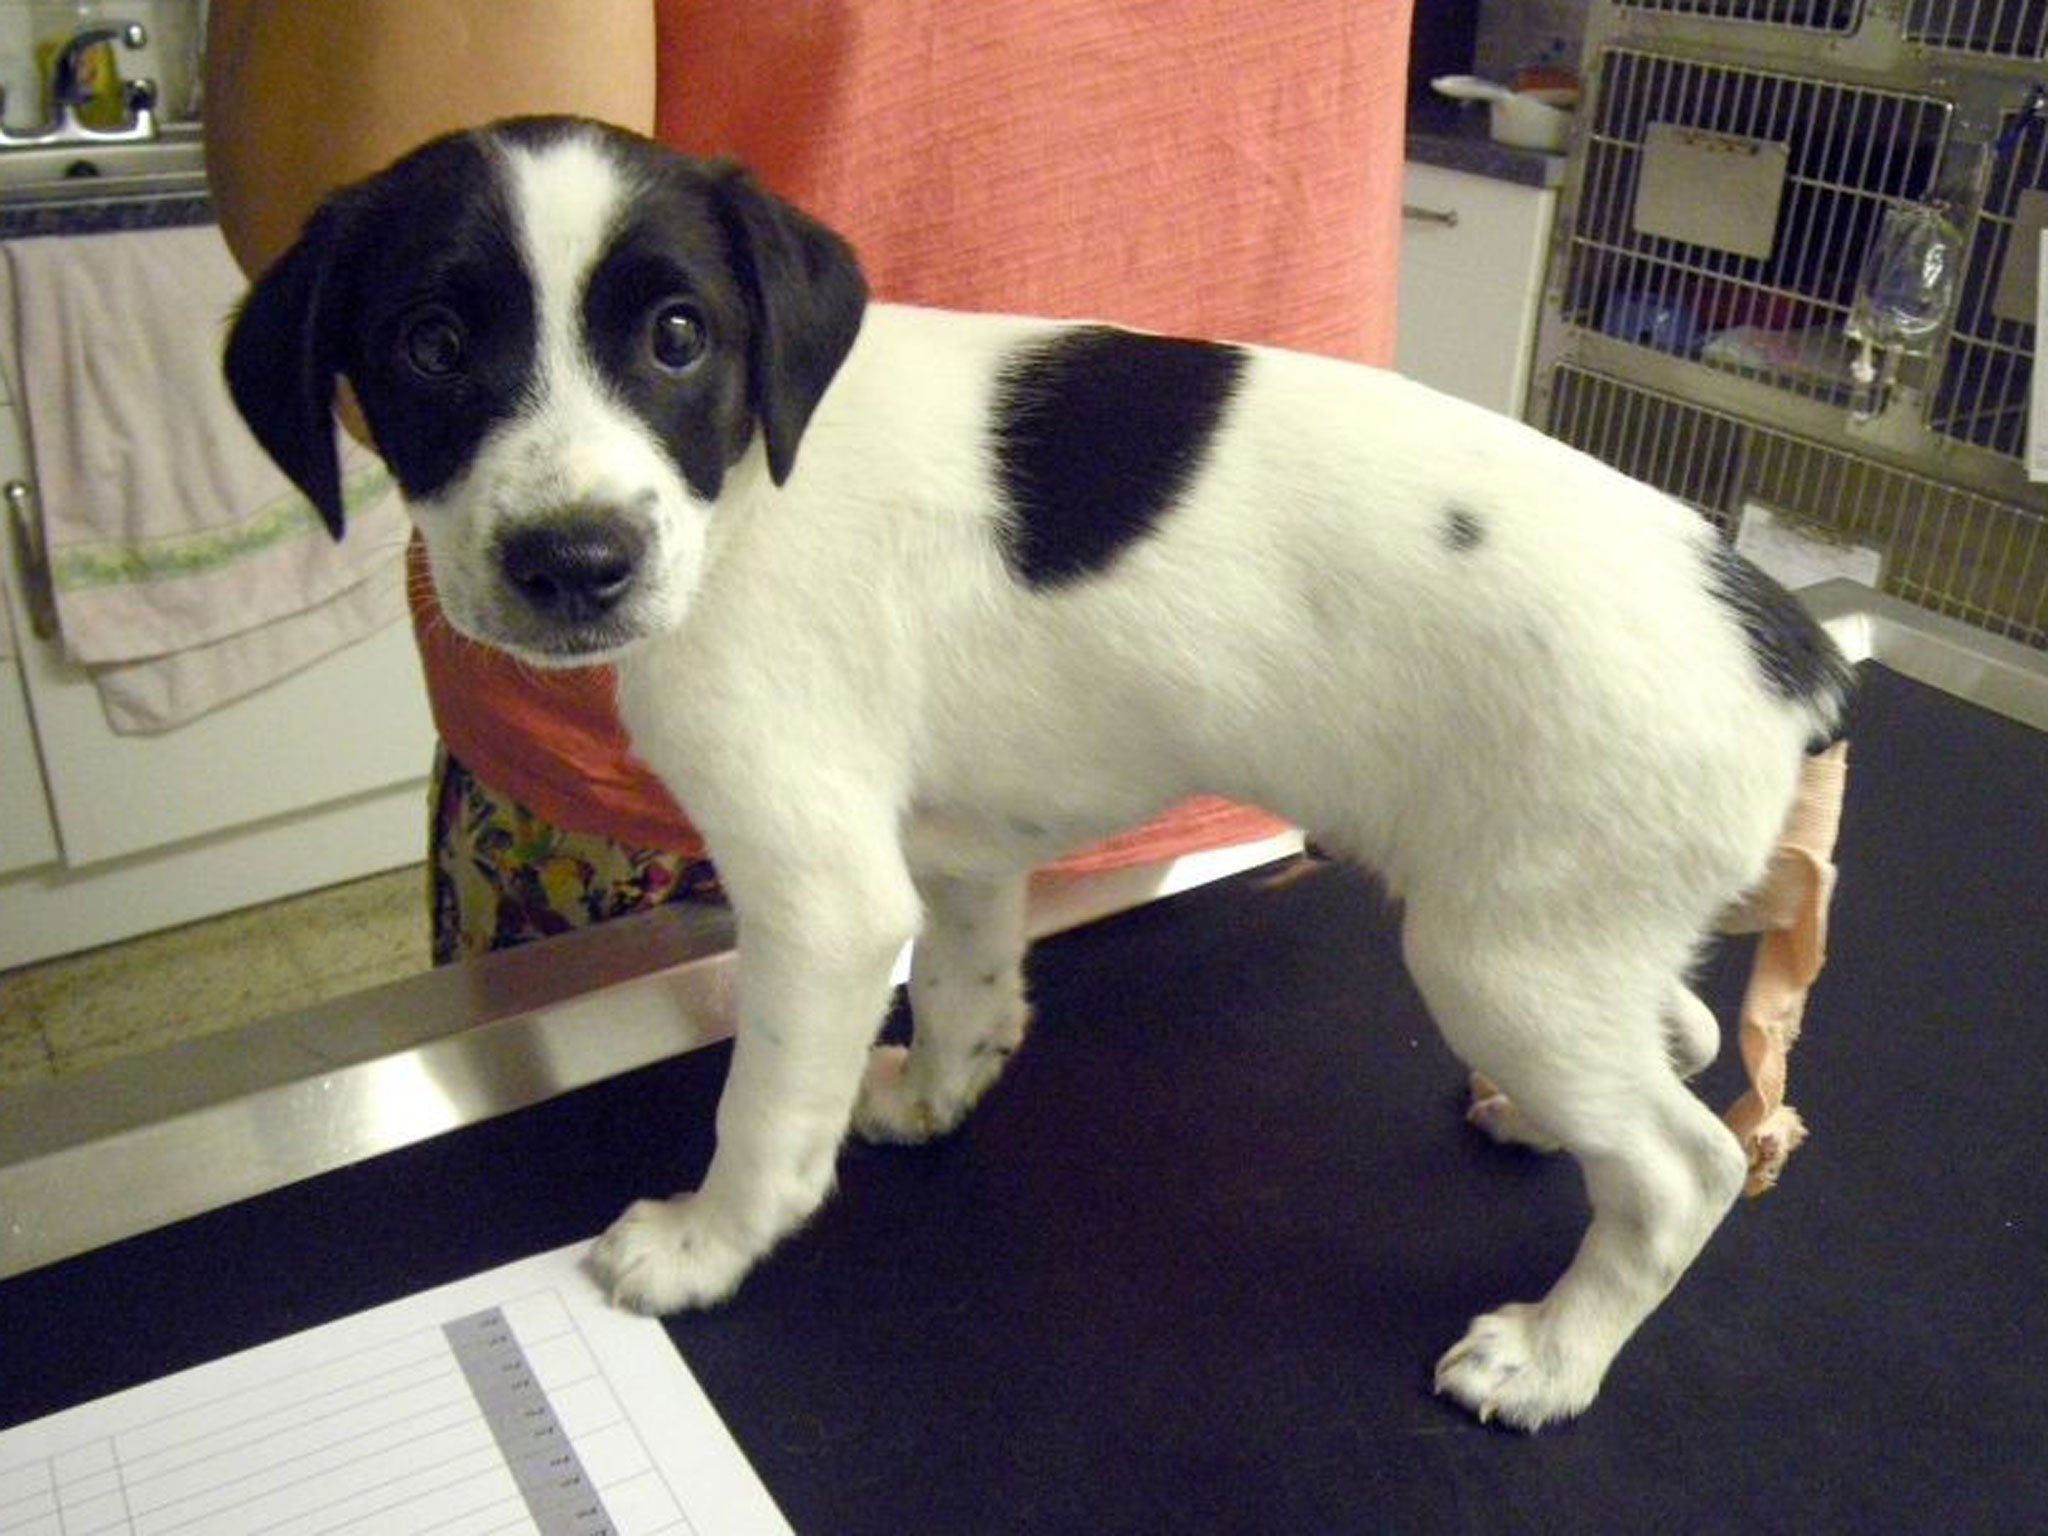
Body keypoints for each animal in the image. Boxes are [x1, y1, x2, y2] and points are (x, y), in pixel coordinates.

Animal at [228, 117, 1859, 1433]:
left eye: (677, 337)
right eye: (432, 347)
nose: (573, 563)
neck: (747, 486)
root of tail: (1788, 645)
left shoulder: (818, 898)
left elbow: (763, 1117)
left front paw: (702, 1247)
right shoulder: (954, 851)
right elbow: (962, 988)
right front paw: (937, 1094)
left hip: (1498, 952)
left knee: (1681, 1171)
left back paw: (1553, 1356)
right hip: (1562, 935)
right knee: (1676, 1037)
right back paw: (1536, 1119)